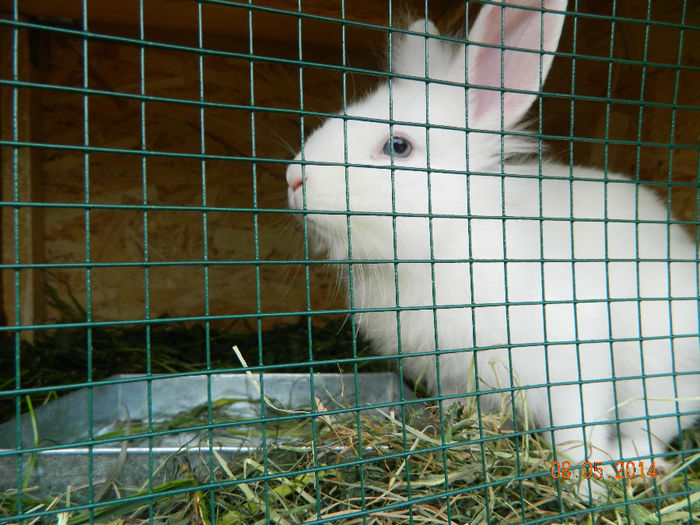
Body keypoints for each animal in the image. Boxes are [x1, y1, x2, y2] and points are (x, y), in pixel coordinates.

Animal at [286, 0, 700, 498]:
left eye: (398, 146)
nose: (294, 179)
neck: (448, 244)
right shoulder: (452, 378)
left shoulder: (570, 367)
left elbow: (576, 432)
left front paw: (587, 489)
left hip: (660, 371)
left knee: (654, 429)